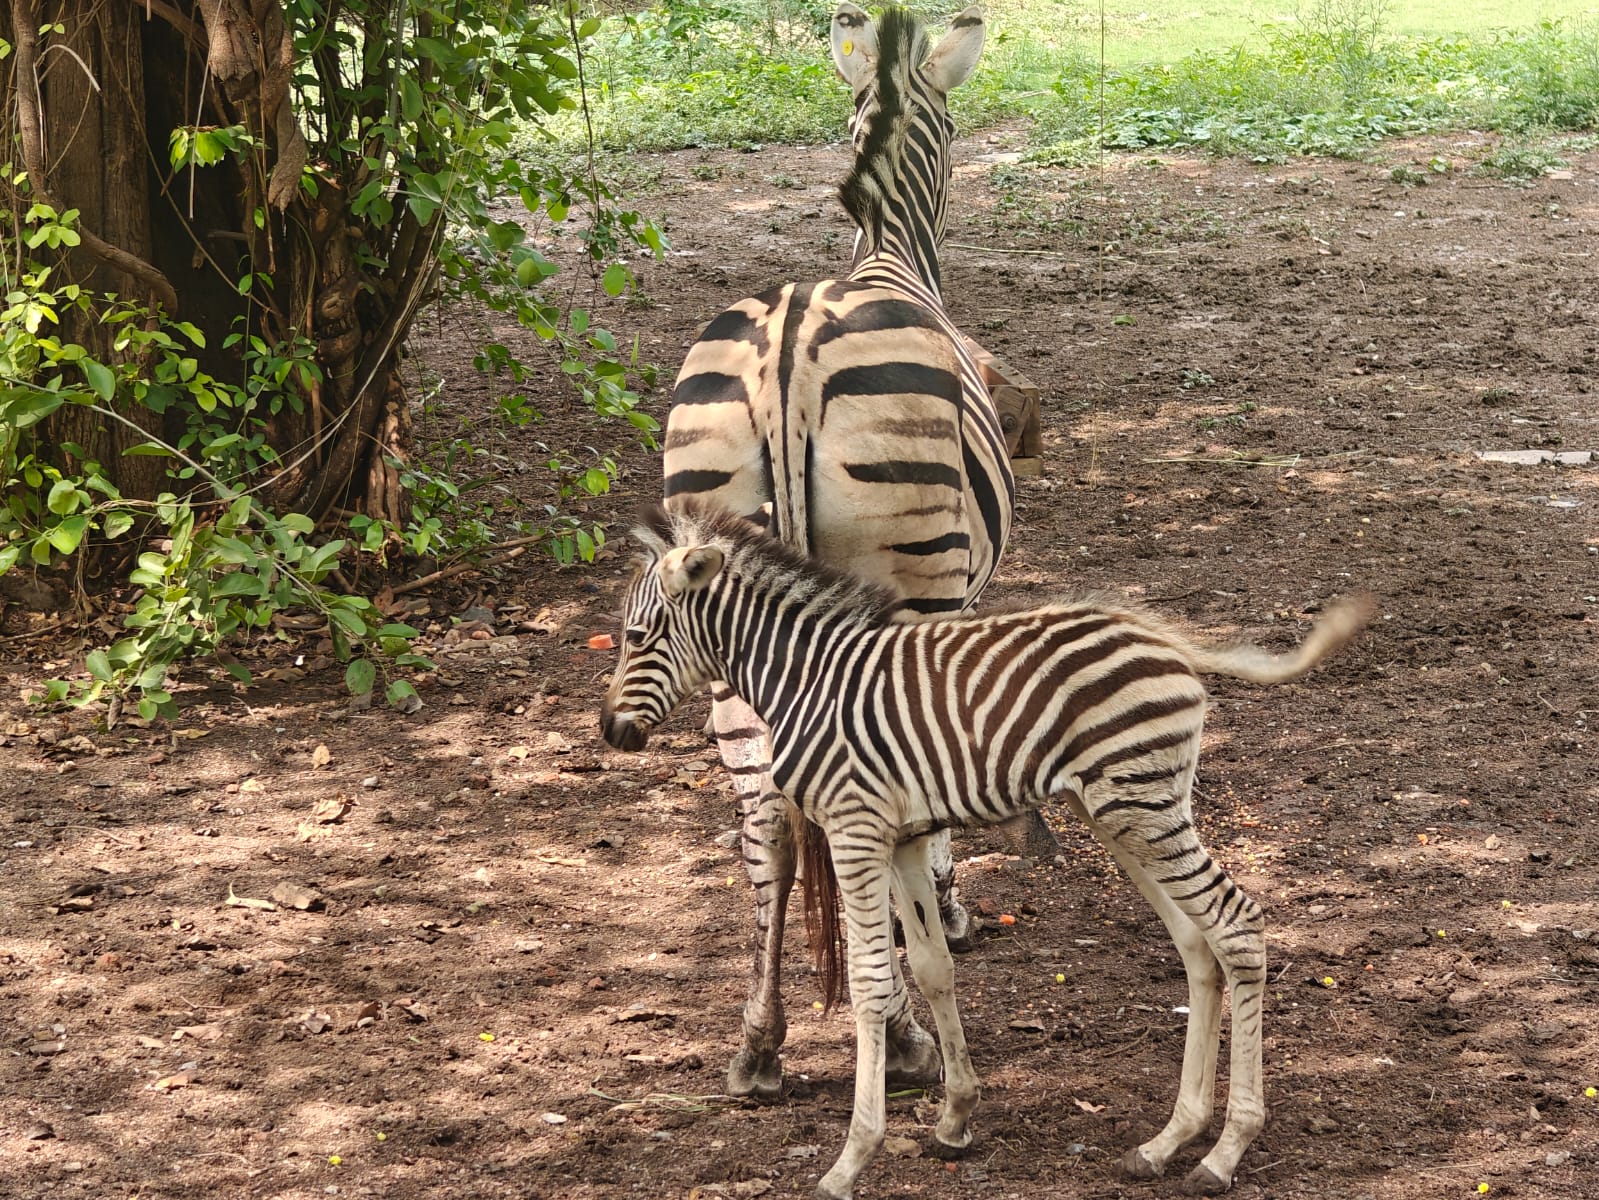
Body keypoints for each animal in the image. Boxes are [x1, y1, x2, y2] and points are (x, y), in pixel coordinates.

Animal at [601, 499, 1375, 1200]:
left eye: (637, 636)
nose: (610, 732)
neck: (807, 681)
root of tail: (1165, 640)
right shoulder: (906, 837)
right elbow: (933, 968)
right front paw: (954, 1117)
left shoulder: (856, 828)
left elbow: (872, 984)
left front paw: (851, 1160)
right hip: (1124, 812)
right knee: (1195, 942)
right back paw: (1167, 1141)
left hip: (1141, 807)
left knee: (1237, 926)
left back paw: (1225, 1151)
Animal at [658, 4, 1010, 1107]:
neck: (887, 250)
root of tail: (790, 346)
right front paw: (945, 908)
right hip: (913, 571)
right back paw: (900, 1038)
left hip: (715, 602)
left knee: (767, 820)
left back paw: (760, 1042)